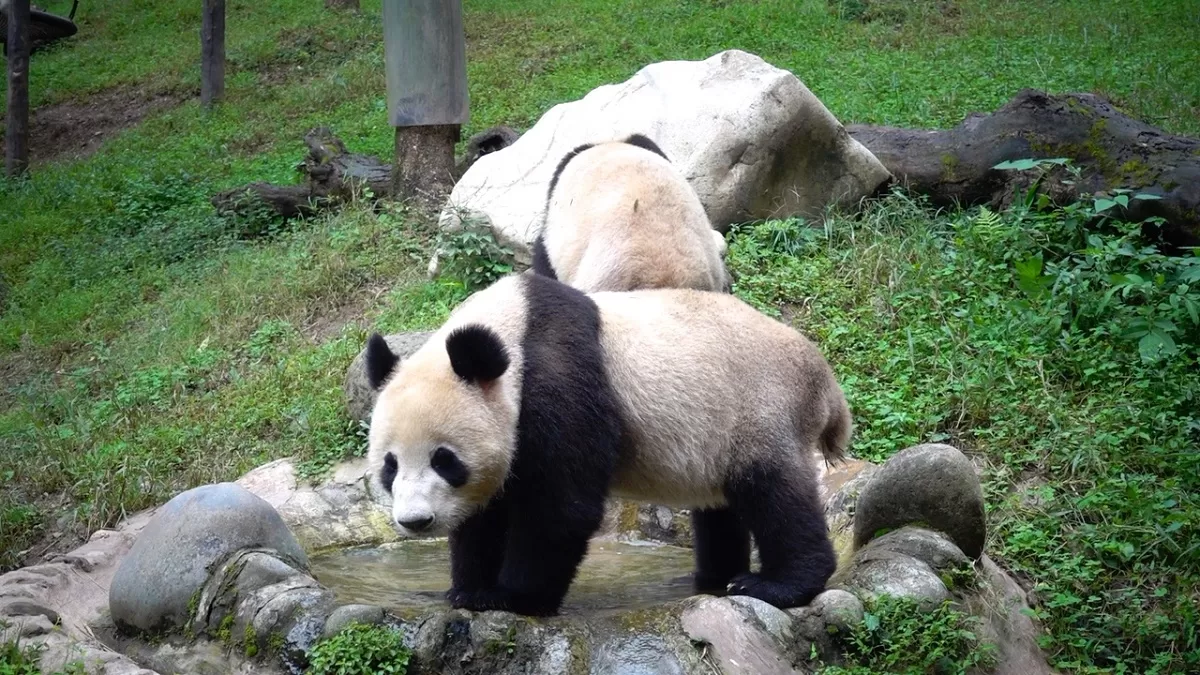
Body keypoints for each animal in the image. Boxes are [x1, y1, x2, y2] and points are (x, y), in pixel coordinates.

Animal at [364, 272, 850, 617]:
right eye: (390, 465)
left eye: (444, 460)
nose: (415, 521)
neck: (513, 326)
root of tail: (824, 377)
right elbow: (485, 512)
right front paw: (470, 590)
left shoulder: (558, 378)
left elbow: (562, 506)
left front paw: (516, 596)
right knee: (722, 504)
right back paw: (713, 578)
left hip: (760, 405)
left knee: (775, 493)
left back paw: (775, 584)